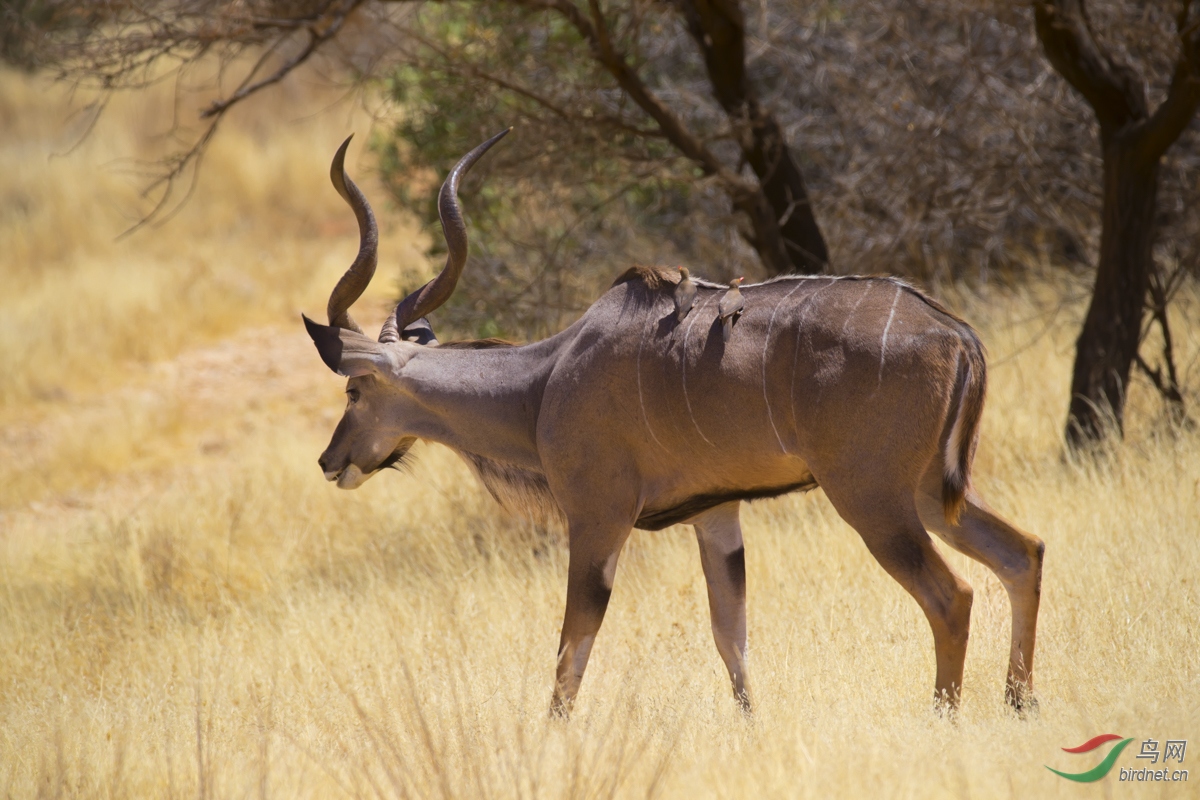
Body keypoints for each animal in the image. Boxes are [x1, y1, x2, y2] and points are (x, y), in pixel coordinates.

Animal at [304, 131, 1046, 719]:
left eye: (353, 388)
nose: (329, 461)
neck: (543, 384)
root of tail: (953, 331)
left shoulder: (597, 517)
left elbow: (573, 646)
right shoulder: (715, 515)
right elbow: (731, 637)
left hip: (873, 498)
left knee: (953, 594)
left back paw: (945, 715)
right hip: (930, 492)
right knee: (1024, 553)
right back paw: (1021, 702)